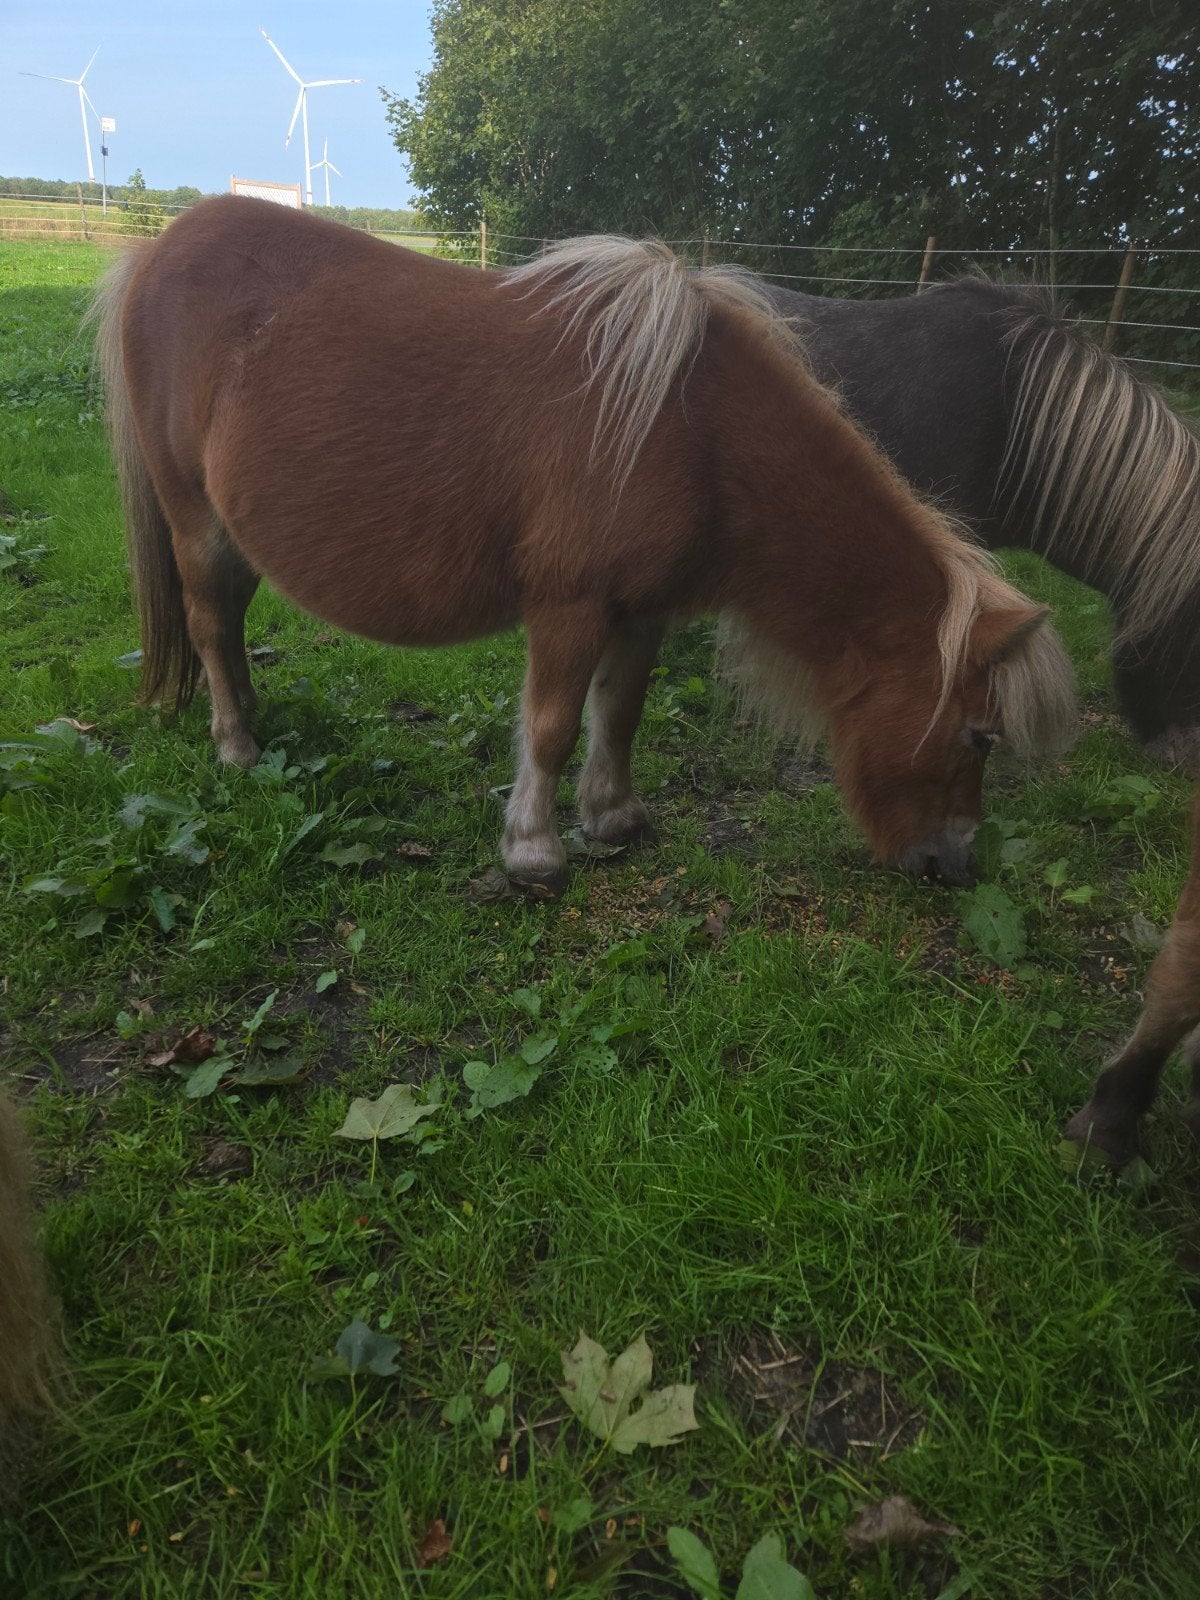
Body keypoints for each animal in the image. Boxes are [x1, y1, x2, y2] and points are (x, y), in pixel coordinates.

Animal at [88, 198, 1076, 893]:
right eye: (980, 735)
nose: (956, 867)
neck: (693, 430)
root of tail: (157, 251)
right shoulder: (570, 604)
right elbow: (554, 725)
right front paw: (534, 852)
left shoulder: (644, 610)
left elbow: (620, 714)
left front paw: (613, 818)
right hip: (195, 520)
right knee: (210, 623)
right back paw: (236, 746)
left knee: (230, 623)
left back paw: (256, 718)